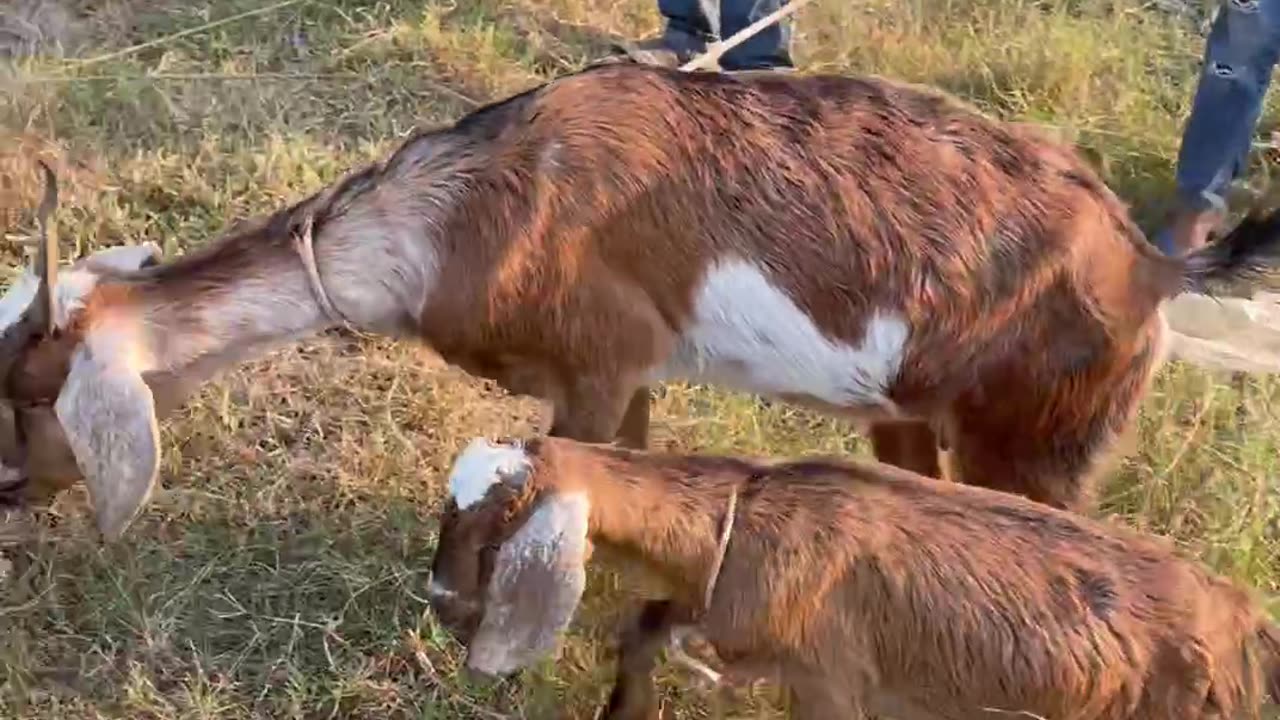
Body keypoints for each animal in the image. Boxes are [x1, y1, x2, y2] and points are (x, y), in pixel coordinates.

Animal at [2, 63, 1280, 538]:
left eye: (33, 395)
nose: (11, 488)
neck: (447, 218)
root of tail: (1148, 262)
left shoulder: (595, 364)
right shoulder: (628, 375)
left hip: (1040, 440)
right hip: (909, 414)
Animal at [430, 430, 1280, 717]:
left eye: (506, 514)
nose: (441, 599)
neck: (745, 516)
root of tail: (1240, 618)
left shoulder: (833, 677)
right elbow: (641, 630)